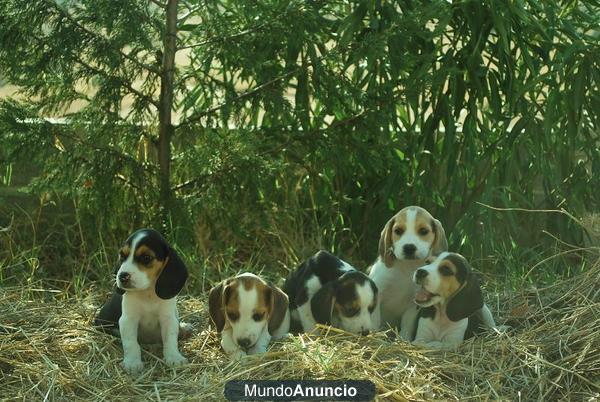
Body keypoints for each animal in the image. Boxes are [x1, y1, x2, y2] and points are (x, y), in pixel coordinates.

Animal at [94, 229, 188, 374]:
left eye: (146, 258)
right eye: (122, 256)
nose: (122, 276)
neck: (147, 293)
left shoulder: (168, 318)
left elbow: (170, 339)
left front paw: (174, 357)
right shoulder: (128, 320)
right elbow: (131, 343)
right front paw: (132, 363)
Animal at [368, 204, 448, 340]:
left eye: (423, 231)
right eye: (398, 231)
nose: (409, 247)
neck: (407, 267)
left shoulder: (413, 304)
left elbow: (407, 325)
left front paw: (403, 340)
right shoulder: (377, 293)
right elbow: (375, 319)